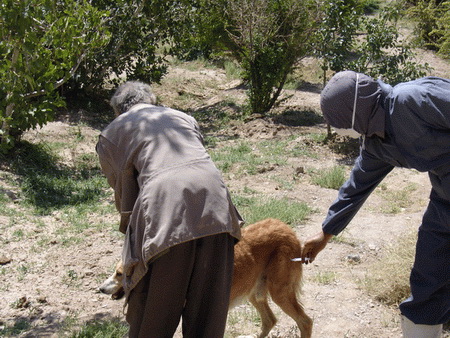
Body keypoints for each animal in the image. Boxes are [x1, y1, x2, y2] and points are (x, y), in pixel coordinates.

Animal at [99, 218, 312, 336]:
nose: (99, 289)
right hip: (255, 292)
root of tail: (288, 229)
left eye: (119, 274)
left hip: (279, 292)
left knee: (305, 321)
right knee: (270, 321)